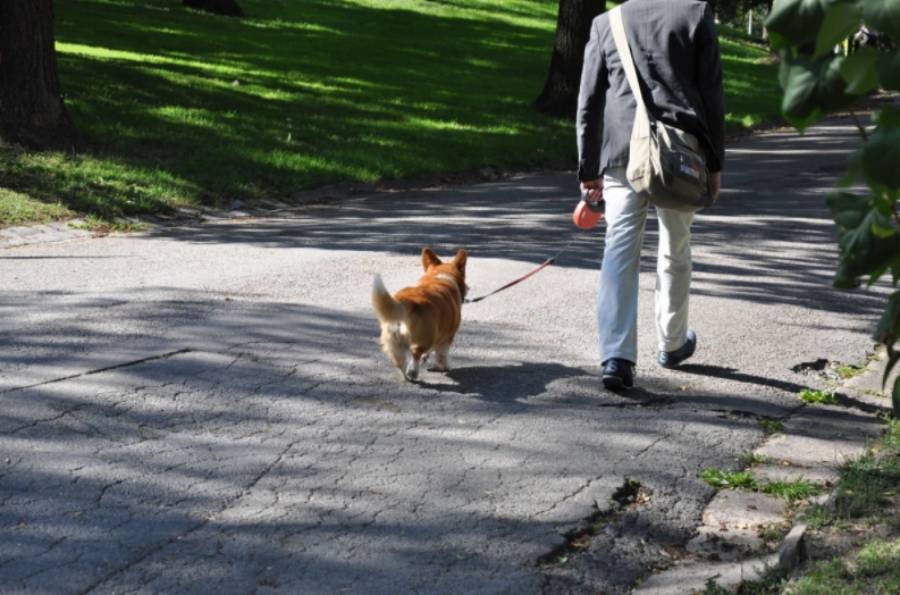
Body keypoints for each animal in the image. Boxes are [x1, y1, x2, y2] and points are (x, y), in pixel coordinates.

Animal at [372, 248, 472, 382]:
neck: (441, 276)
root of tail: (406, 301)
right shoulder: (448, 336)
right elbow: (442, 354)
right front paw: (444, 367)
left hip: (394, 341)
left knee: (400, 361)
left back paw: (407, 375)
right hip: (426, 338)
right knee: (416, 353)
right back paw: (413, 372)